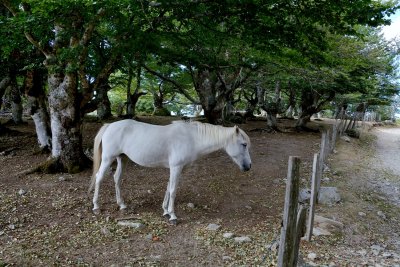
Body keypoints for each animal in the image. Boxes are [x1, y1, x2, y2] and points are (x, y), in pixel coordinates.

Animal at [88, 119, 250, 224]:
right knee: (99, 177)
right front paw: (173, 216)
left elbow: (168, 187)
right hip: (108, 158)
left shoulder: (176, 169)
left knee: (117, 178)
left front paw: (165, 211)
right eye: (244, 144)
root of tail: (110, 125)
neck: (191, 138)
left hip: (122, 159)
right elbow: (173, 190)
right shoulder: (176, 167)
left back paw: (122, 205)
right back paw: (96, 206)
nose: (248, 166)